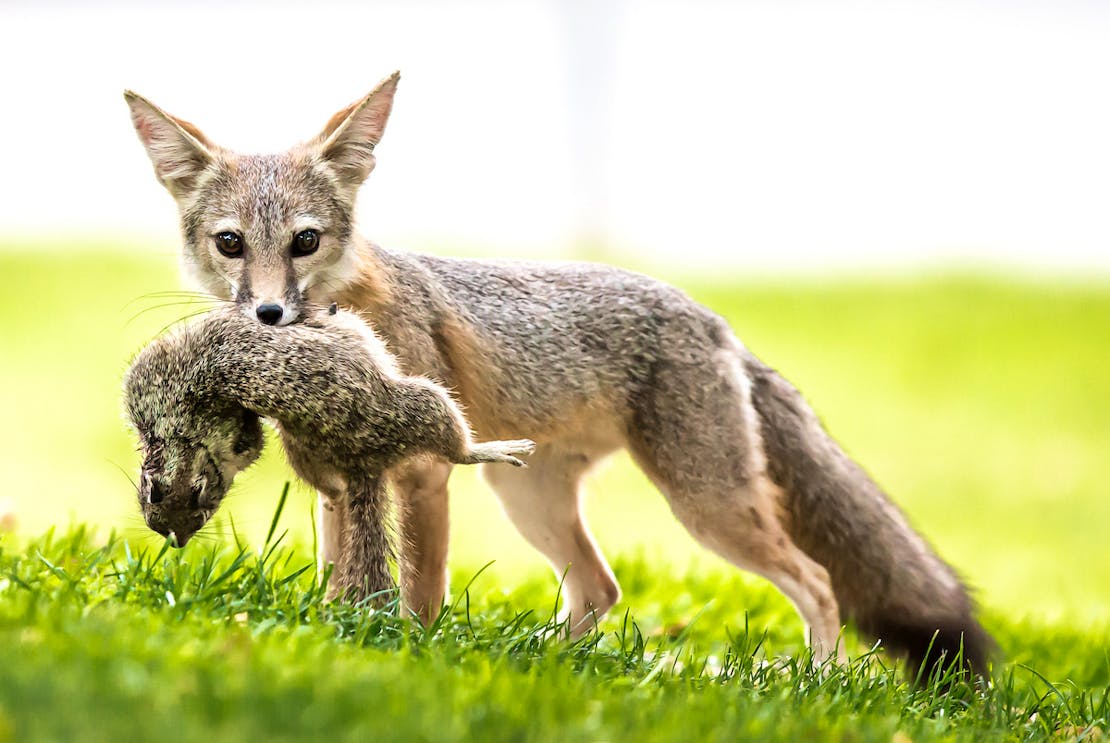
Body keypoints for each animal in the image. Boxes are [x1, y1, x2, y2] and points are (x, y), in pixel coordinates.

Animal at [125, 72, 994, 675]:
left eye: (304, 241)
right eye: (231, 243)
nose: (270, 315)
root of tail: (713, 321)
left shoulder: (421, 471)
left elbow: (422, 589)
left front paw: (410, 654)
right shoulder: (341, 478)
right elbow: (344, 573)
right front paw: (341, 634)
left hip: (706, 507)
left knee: (815, 579)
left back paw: (818, 681)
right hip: (531, 497)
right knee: (599, 587)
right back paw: (551, 659)